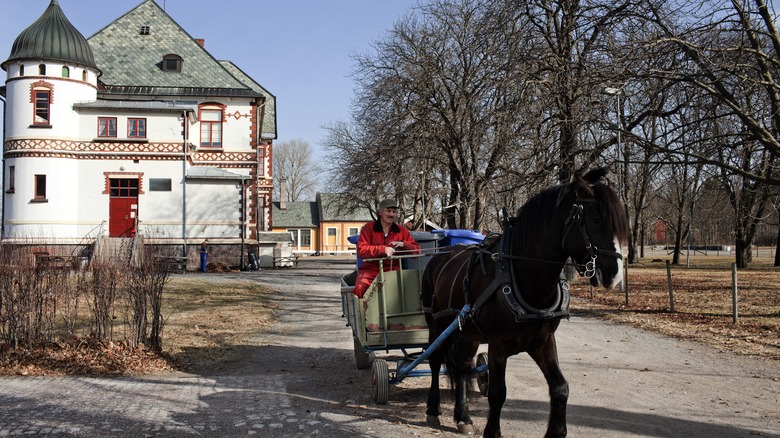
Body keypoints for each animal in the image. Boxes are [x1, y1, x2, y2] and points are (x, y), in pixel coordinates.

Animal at [420, 166, 628, 436]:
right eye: (595, 220)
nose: (616, 275)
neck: (523, 274)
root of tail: (439, 257)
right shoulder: (498, 345)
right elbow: (497, 393)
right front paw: (492, 431)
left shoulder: (543, 341)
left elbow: (560, 387)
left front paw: (556, 431)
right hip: (436, 324)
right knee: (435, 361)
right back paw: (433, 409)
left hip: (467, 332)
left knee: (463, 367)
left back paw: (463, 416)